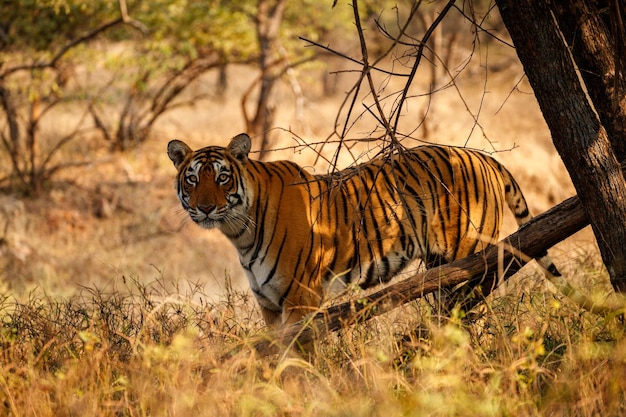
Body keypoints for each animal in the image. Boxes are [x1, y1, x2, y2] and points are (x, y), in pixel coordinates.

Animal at [167, 132, 604, 328]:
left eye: (222, 178)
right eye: (193, 179)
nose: (205, 207)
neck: (238, 231)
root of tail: (483, 156)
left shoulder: (301, 299)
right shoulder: (270, 304)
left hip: (463, 257)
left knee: (473, 306)